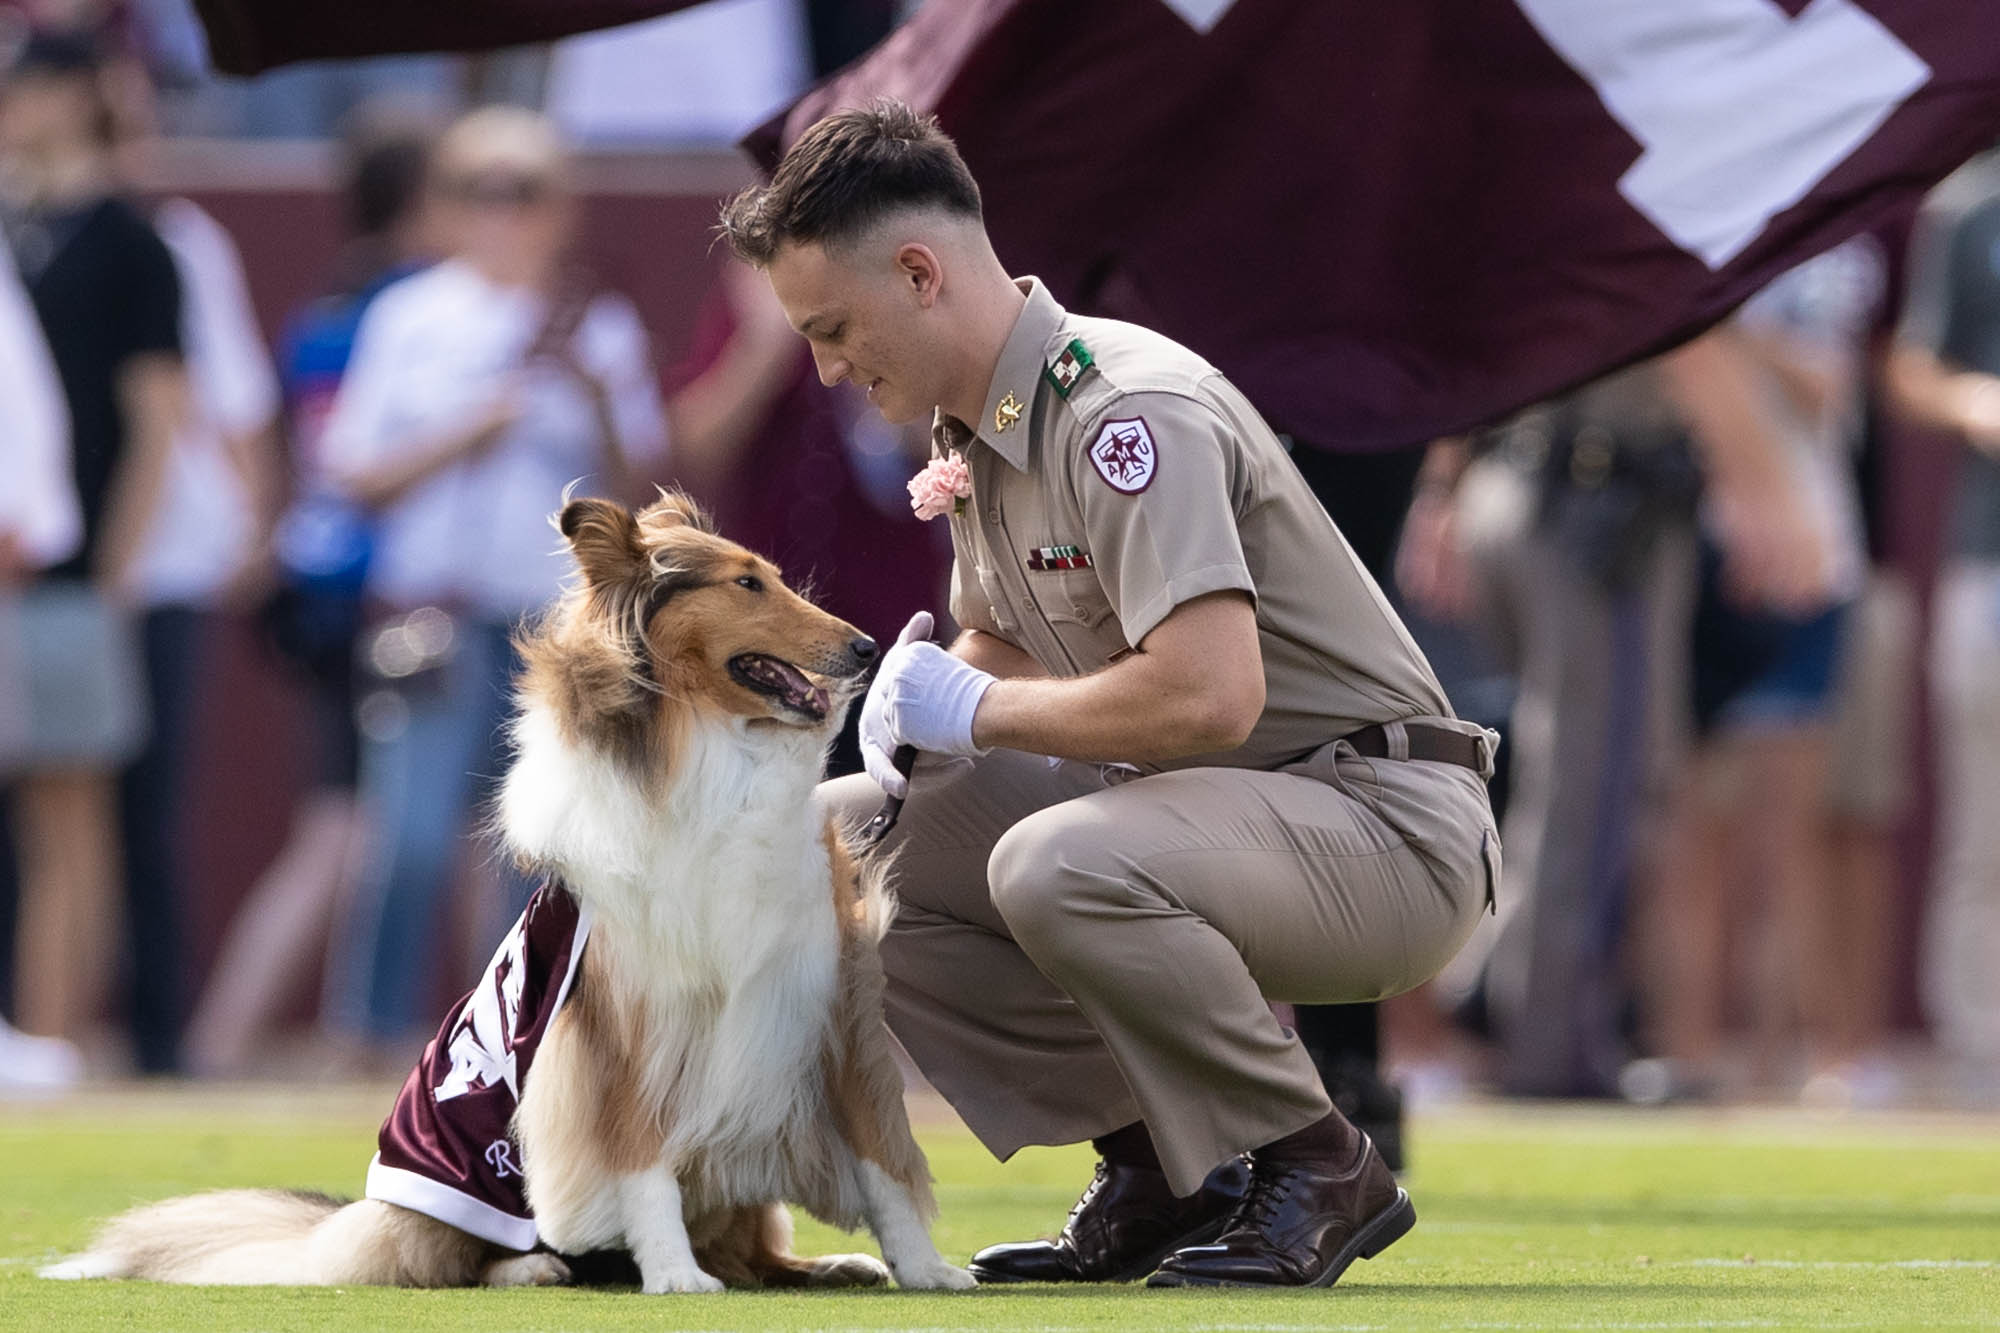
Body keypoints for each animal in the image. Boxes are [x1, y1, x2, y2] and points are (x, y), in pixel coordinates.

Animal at [43, 492, 980, 1288]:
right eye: (746, 582)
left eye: (777, 576)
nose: (869, 648)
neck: (713, 757)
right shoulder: (625, 1023)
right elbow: (639, 1160)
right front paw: (674, 1275)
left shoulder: (826, 999)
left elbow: (878, 1157)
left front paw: (925, 1267)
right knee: (439, 1257)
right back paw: (537, 1265)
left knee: (751, 1252)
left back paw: (824, 1265)